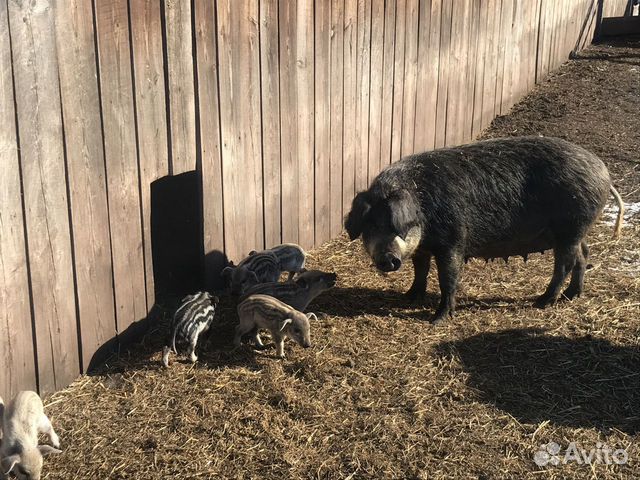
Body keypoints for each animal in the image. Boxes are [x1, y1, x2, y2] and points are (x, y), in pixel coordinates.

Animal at [348, 136, 624, 322]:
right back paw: (571, 296)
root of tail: (603, 172)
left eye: (396, 224)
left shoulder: (454, 240)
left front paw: (437, 319)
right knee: (583, 255)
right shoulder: (423, 247)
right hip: (577, 231)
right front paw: (408, 297)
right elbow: (420, 271)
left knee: (565, 264)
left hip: (570, 227)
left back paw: (542, 302)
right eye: (370, 226)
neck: (423, 210)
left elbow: (448, 277)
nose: (387, 258)